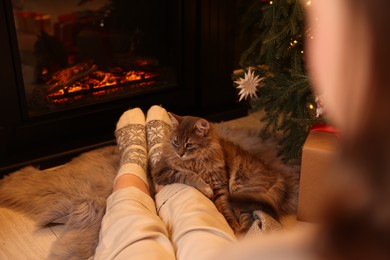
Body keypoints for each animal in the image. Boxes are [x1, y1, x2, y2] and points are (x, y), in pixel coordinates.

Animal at [152, 112, 298, 235]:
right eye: (176, 142)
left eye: (189, 145)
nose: (180, 154)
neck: (197, 161)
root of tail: (279, 176)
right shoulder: (163, 171)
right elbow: (189, 175)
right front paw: (206, 189)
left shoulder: (220, 187)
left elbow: (225, 209)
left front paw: (232, 226)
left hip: (239, 188)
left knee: (249, 218)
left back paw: (243, 233)